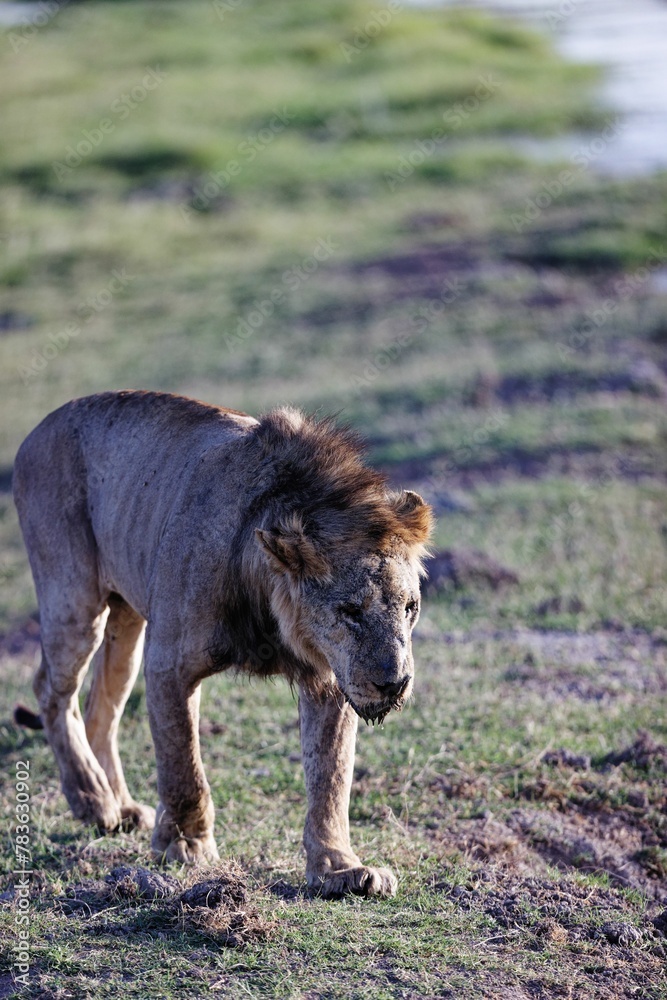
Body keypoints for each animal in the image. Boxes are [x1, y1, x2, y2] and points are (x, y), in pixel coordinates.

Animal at [13, 391, 432, 898]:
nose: (395, 683)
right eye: (350, 610)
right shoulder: (169, 664)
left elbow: (330, 776)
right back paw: (93, 801)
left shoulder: (332, 677)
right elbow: (184, 767)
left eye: (409, 607)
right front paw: (187, 847)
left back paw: (122, 808)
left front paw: (339, 868)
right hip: (74, 598)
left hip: (126, 619)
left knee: (101, 709)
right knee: (52, 691)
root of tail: (36, 431)